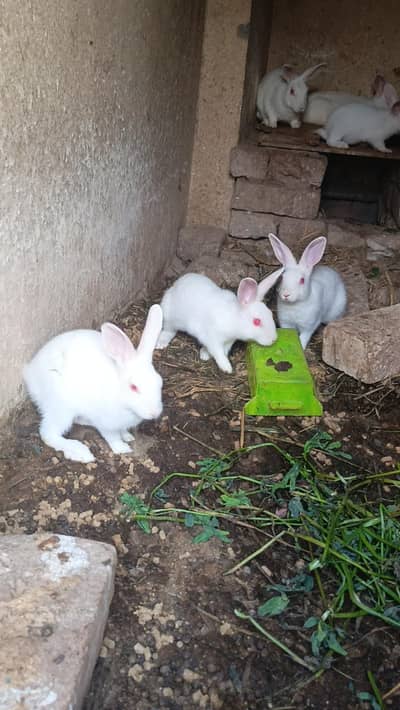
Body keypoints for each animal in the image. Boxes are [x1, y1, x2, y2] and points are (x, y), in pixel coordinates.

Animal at [23, 305, 163, 463]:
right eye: (133, 387)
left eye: (160, 382)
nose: (154, 413)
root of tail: (30, 373)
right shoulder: (106, 423)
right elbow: (113, 437)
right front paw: (123, 448)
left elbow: (122, 431)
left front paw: (128, 437)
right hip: (61, 408)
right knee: (48, 433)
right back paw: (80, 452)